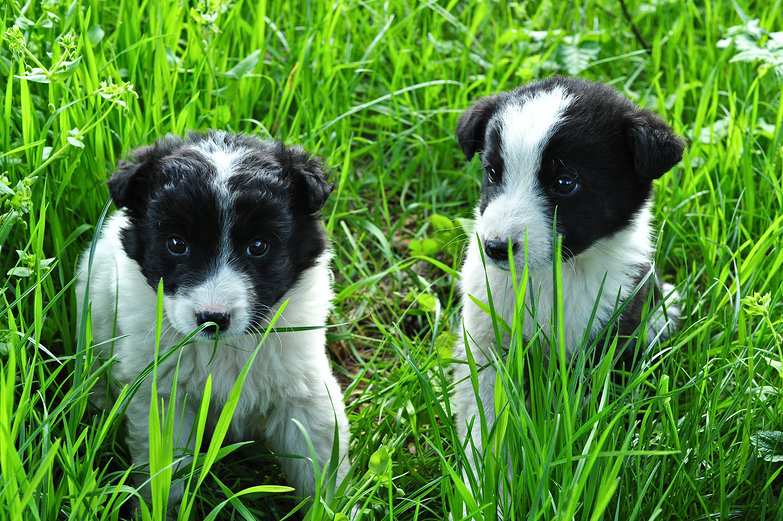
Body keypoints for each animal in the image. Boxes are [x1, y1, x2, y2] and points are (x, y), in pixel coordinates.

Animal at [75, 129, 350, 508]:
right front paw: (162, 508)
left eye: (258, 246)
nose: (212, 318)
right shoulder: (163, 393)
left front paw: (333, 509)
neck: (227, 347)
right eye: (177, 244)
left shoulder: (303, 388)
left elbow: (320, 461)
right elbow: (166, 467)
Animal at [454, 78, 688, 504]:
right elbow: (487, 424)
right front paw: (486, 492)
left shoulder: (610, 335)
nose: (494, 247)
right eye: (493, 172)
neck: (552, 276)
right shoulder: (486, 343)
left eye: (565, 183)